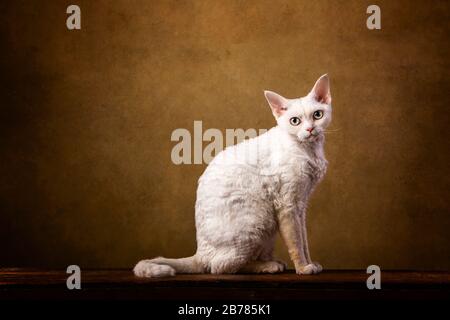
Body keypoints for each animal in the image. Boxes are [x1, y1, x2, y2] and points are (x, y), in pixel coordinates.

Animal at [134, 74, 330, 276]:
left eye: (317, 115)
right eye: (295, 121)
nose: (310, 129)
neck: (310, 150)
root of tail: (200, 253)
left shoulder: (301, 204)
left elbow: (304, 240)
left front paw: (311, 263)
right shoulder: (287, 204)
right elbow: (296, 242)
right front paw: (303, 268)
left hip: (268, 229)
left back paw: (270, 262)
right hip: (257, 220)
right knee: (221, 267)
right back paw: (268, 266)